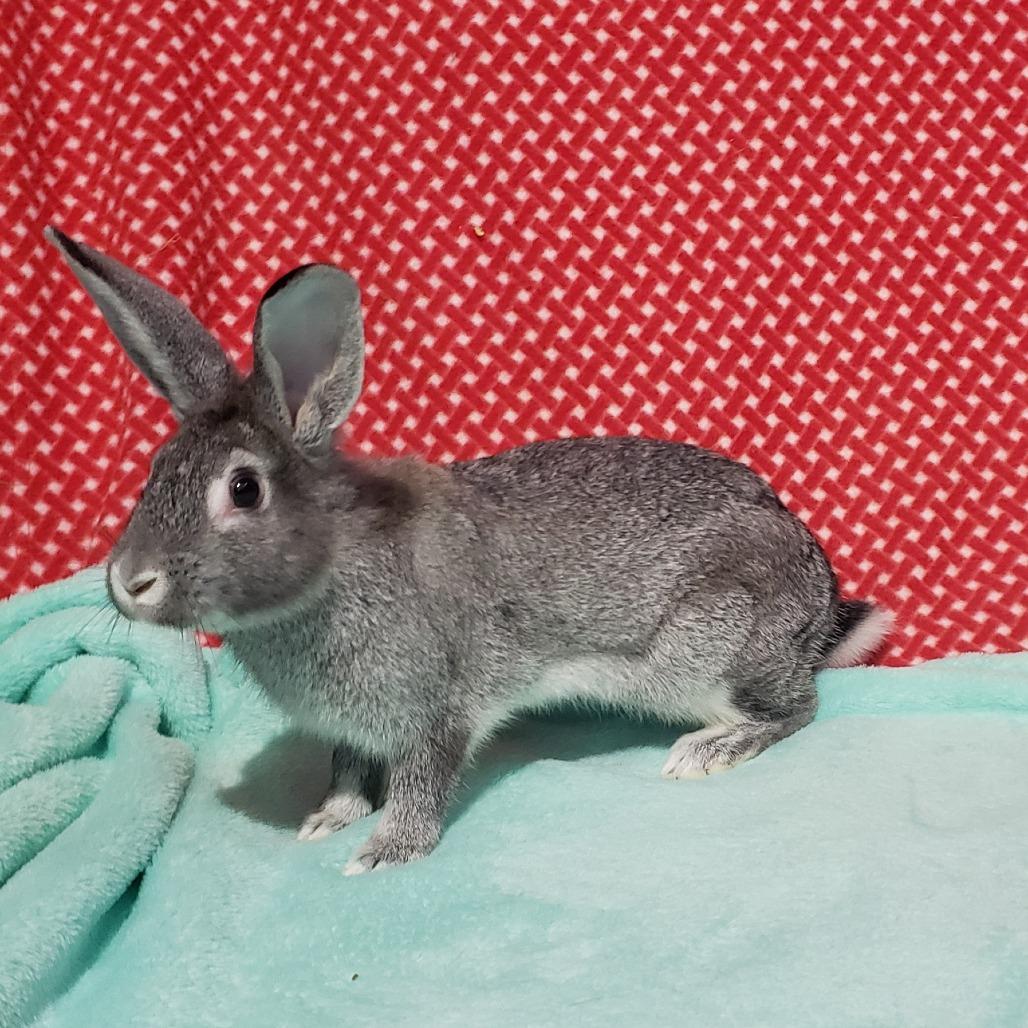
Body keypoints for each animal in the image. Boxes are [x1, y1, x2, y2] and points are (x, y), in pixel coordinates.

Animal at [46, 227, 893, 874]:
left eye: (245, 490)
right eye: (154, 470)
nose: (129, 582)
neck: (333, 567)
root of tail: (818, 603)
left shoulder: (436, 708)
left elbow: (422, 784)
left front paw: (383, 853)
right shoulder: (355, 729)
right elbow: (347, 770)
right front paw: (328, 820)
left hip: (707, 650)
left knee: (798, 707)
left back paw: (710, 750)